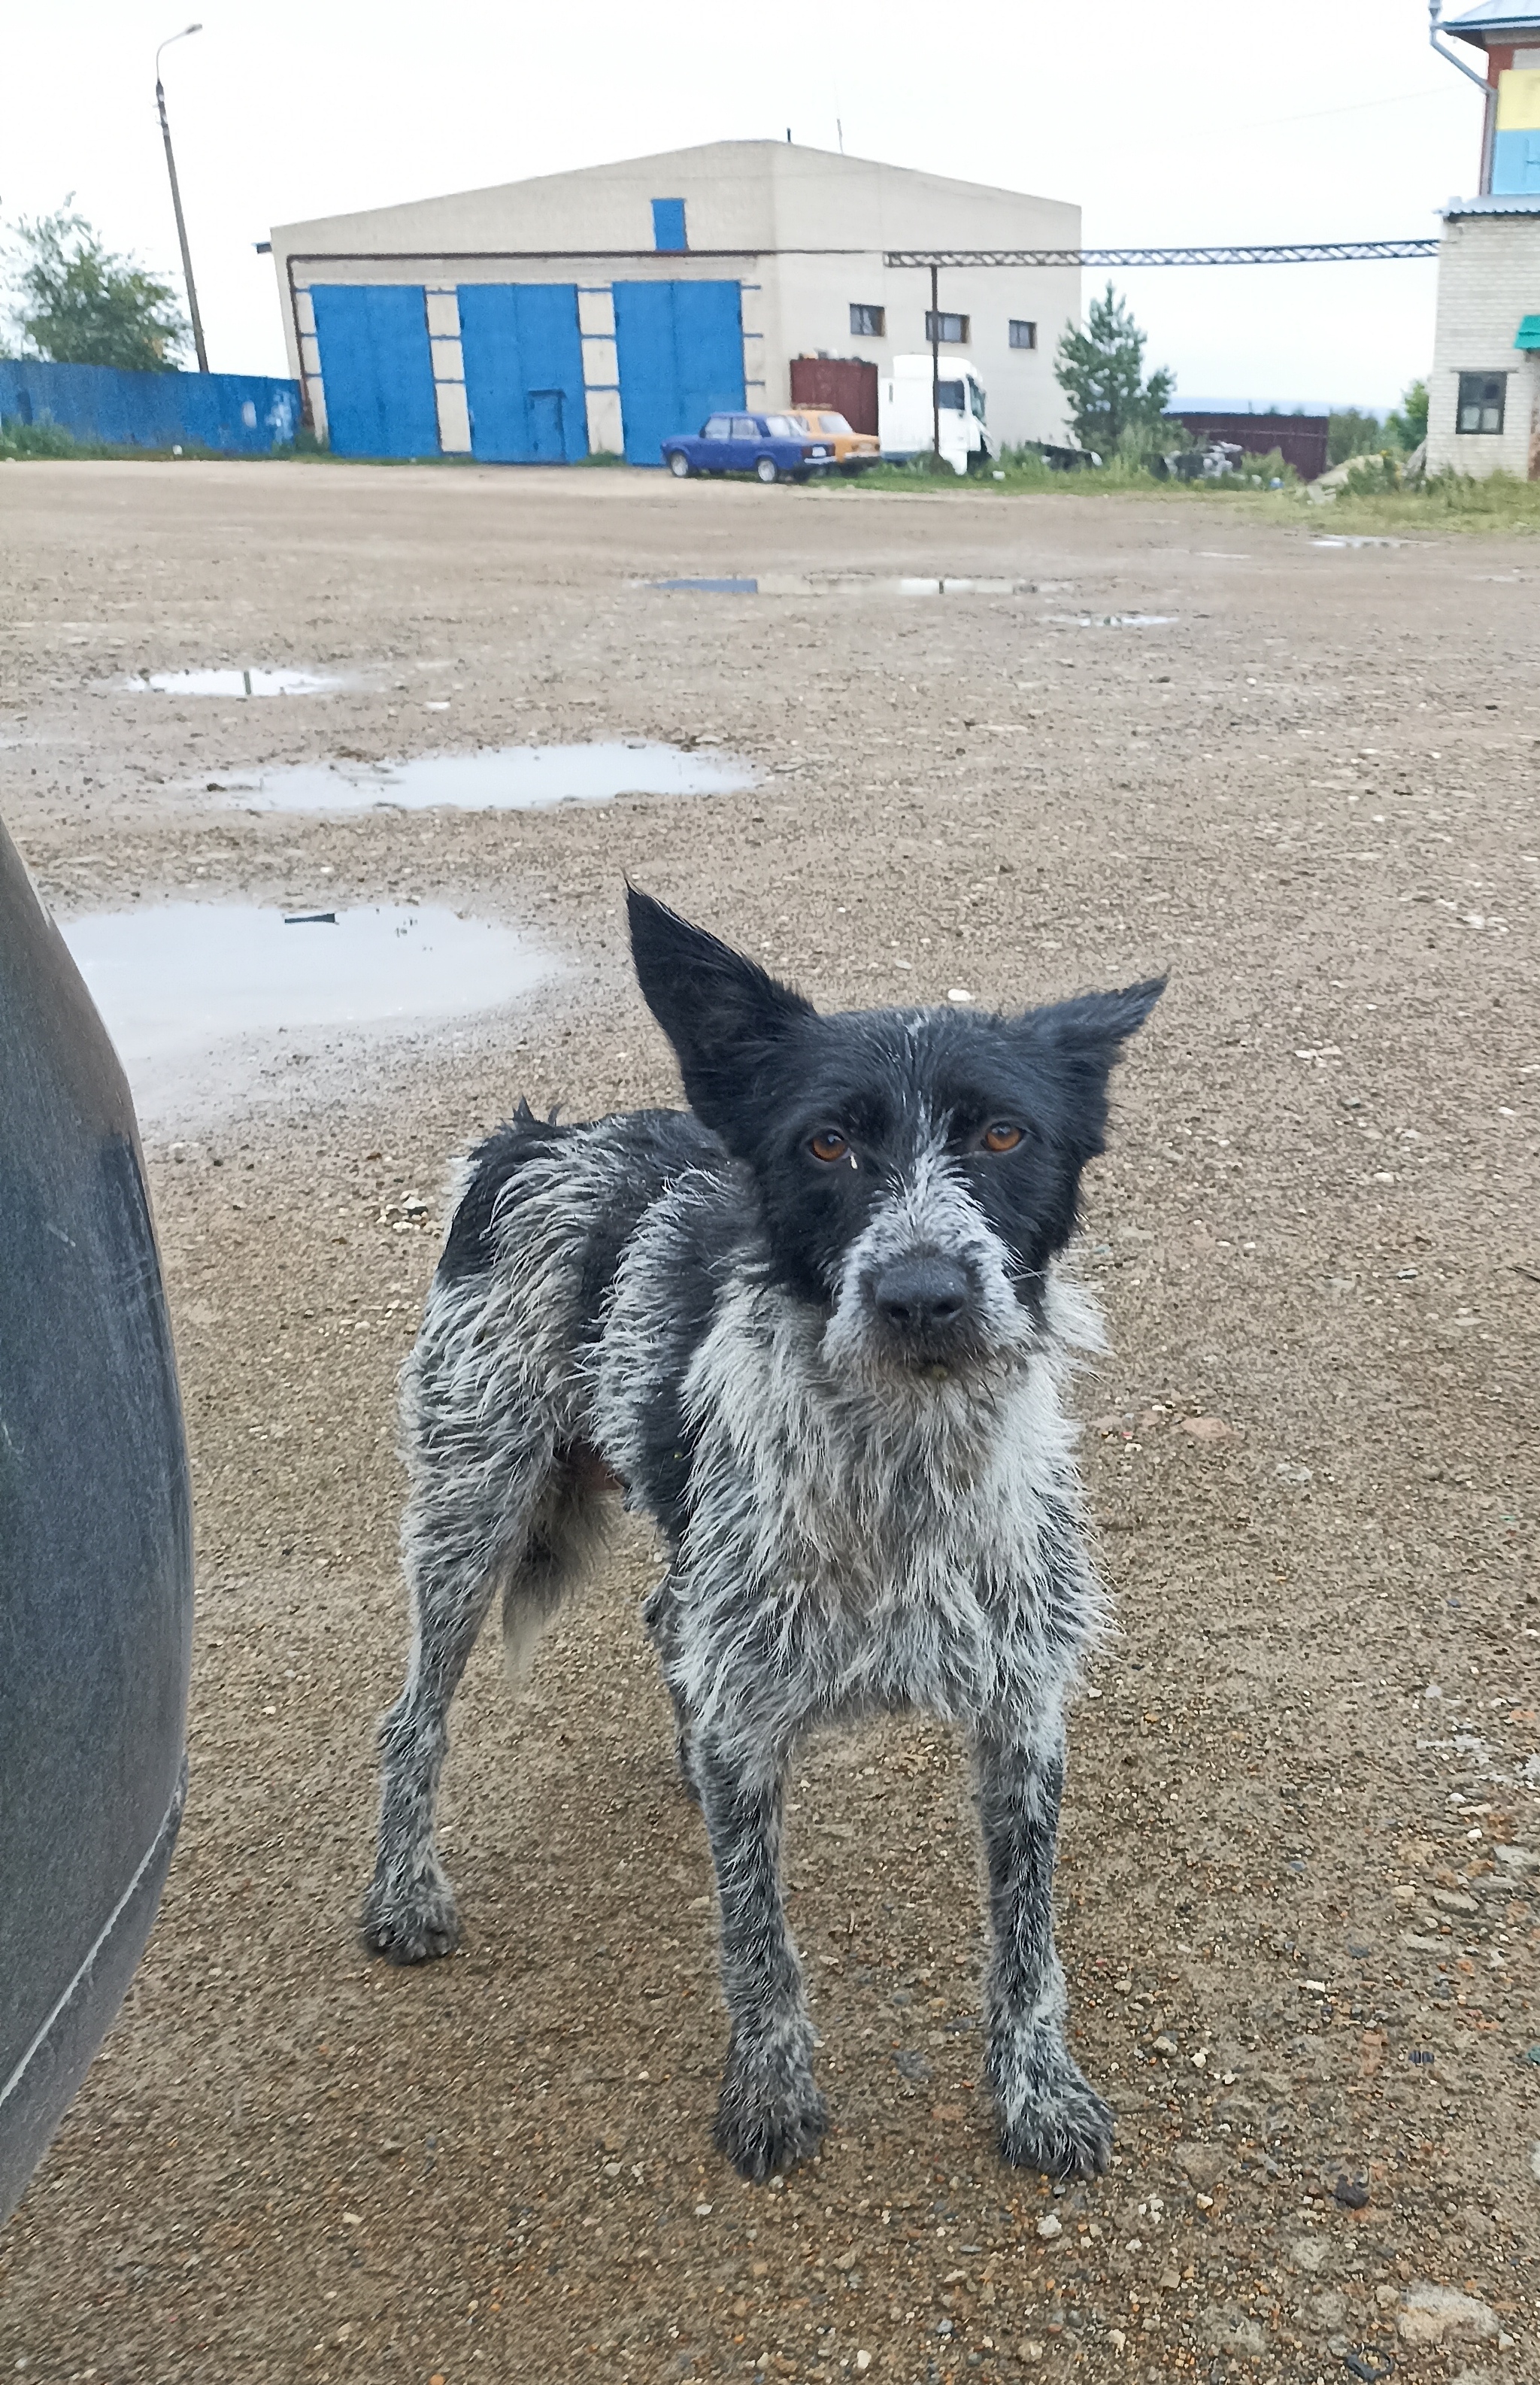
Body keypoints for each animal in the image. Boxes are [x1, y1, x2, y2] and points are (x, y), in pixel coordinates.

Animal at [362, 891, 1158, 2184]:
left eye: (1003, 1134)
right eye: (827, 1145)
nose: (923, 1295)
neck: (899, 1467)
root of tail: (531, 1139)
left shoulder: (1022, 1714)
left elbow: (1027, 1943)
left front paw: (1038, 2090)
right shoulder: (750, 1710)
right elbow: (757, 1935)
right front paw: (771, 2087)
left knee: (659, 1616)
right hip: (471, 1504)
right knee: (415, 1714)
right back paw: (403, 1889)